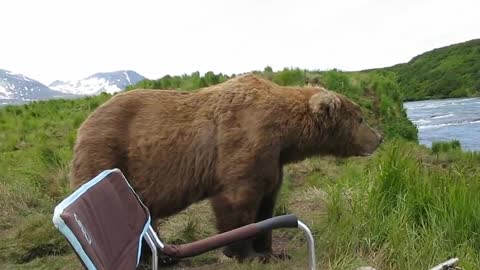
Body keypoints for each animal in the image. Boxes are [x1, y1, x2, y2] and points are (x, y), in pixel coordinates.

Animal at [68, 73, 382, 262]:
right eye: (360, 117)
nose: (379, 138)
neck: (285, 135)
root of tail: (83, 125)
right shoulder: (242, 143)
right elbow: (237, 203)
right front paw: (244, 253)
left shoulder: (272, 161)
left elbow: (267, 203)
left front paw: (270, 251)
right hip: (108, 155)